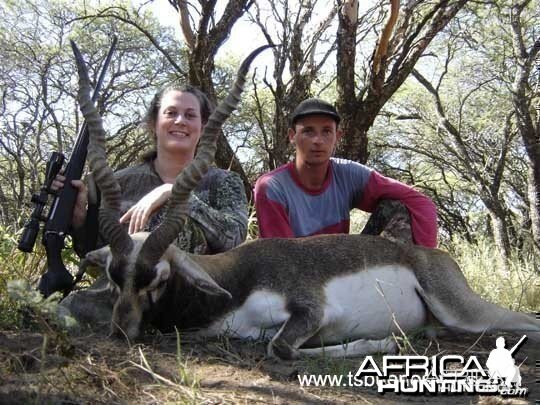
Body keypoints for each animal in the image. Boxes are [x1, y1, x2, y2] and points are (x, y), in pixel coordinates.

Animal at [70, 42, 540, 360]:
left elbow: (282, 349)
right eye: (113, 276)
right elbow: (278, 346)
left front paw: (384, 341)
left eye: (159, 277)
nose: (121, 330)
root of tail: (431, 256)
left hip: (463, 310)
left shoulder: (311, 311)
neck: (235, 285)